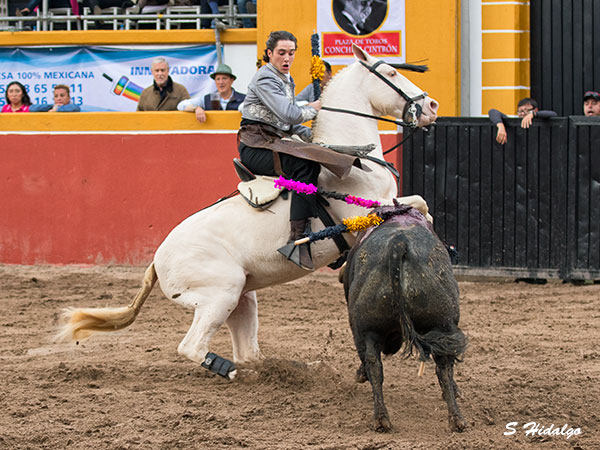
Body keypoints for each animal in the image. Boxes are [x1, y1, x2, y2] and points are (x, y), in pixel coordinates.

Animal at [58, 44, 438, 378]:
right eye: (391, 73)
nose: (432, 104)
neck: (356, 157)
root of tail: (155, 261)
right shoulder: (363, 212)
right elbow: (418, 204)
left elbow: (422, 205)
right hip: (220, 294)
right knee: (192, 347)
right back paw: (227, 369)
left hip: (242, 299)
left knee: (250, 353)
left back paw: (296, 369)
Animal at [340, 207, 466, 432]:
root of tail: (399, 243)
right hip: (441, 323)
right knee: (444, 364)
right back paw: (456, 419)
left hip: (367, 329)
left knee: (373, 363)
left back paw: (381, 419)